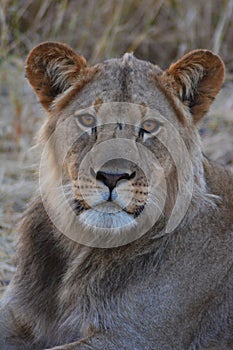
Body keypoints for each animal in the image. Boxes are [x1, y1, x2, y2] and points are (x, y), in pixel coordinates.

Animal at [0, 41, 233, 350]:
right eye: (88, 120)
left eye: (149, 126)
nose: (112, 176)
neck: (80, 245)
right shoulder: (16, 313)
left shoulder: (133, 338)